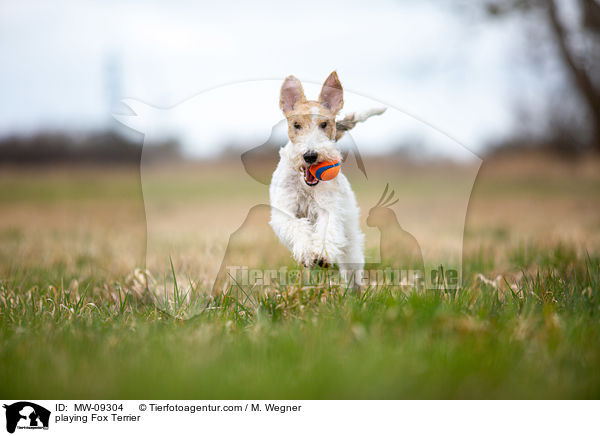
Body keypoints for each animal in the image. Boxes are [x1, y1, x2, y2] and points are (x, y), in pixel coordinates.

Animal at [268, 71, 382, 286]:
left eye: (324, 124)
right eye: (296, 125)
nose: (310, 155)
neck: (306, 185)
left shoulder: (328, 207)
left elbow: (326, 230)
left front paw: (321, 254)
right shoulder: (284, 210)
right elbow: (297, 226)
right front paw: (307, 252)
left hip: (349, 228)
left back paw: (354, 290)